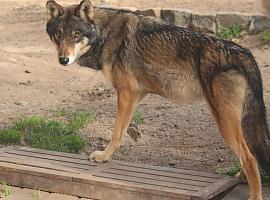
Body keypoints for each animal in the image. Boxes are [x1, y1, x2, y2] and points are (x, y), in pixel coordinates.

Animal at [46, 0, 270, 199]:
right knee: (249, 154)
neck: (104, 34)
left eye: (76, 35)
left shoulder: (127, 92)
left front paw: (103, 157)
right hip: (236, 122)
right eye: (58, 35)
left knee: (249, 158)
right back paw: (240, 178)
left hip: (224, 122)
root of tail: (244, 52)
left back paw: (254, 194)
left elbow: (116, 133)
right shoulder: (138, 93)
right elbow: (124, 126)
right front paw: (134, 133)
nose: (63, 59)